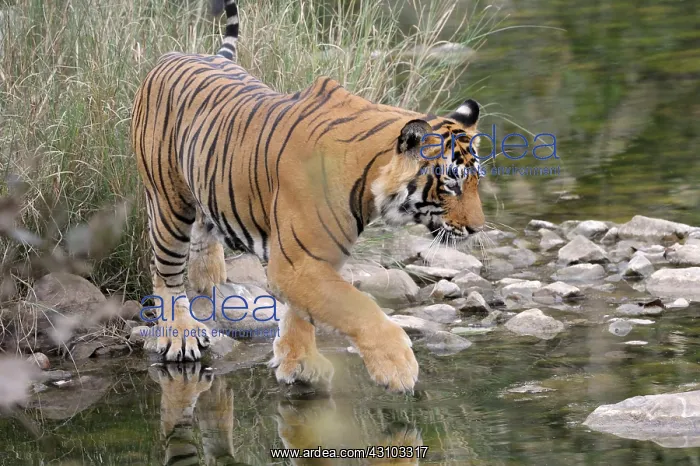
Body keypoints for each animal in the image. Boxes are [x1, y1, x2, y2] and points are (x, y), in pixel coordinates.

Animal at [131, 0, 485, 394]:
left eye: (476, 181)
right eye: (451, 184)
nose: (478, 229)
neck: (368, 182)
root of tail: (178, 55)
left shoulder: (315, 258)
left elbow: (302, 312)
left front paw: (298, 362)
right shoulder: (296, 261)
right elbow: (356, 306)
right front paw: (397, 366)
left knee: (203, 238)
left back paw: (209, 279)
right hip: (167, 201)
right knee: (165, 272)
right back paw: (180, 334)